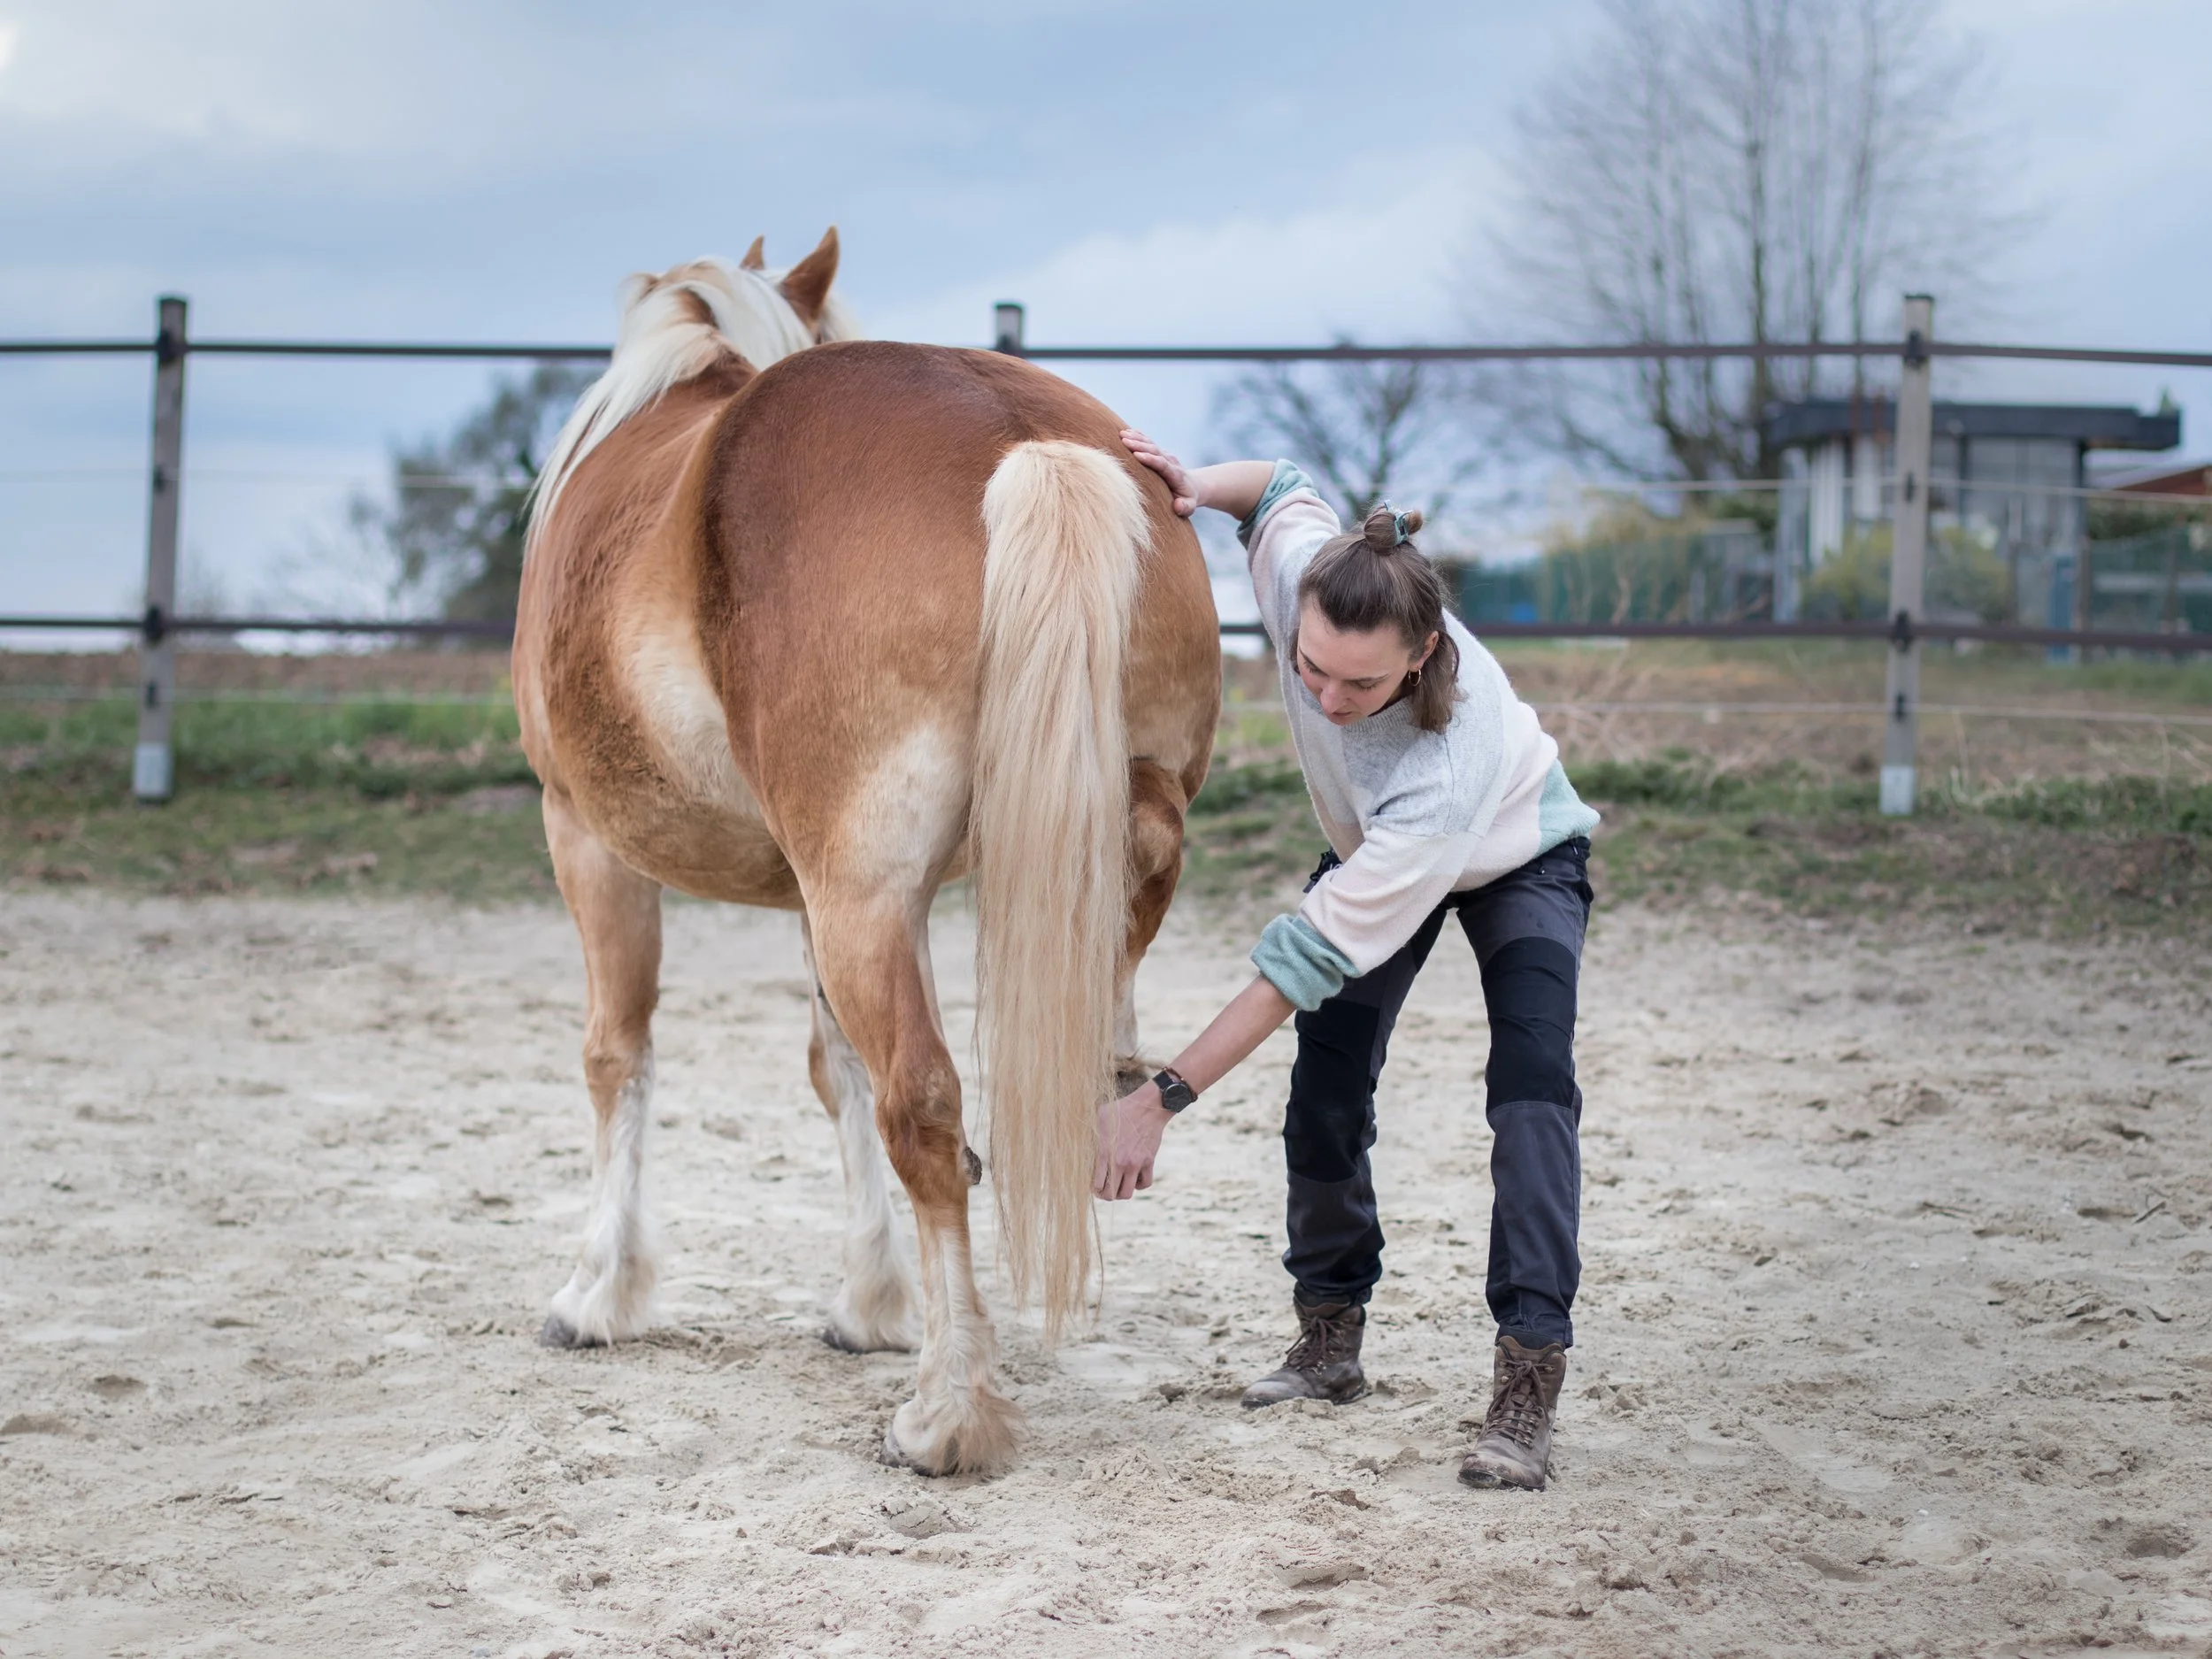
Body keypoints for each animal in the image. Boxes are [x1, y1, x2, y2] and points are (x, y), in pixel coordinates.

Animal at [511, 229, 1220, 1474]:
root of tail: (1021, 440)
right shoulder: (826, 891)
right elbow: (832, 1069)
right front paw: (877, 1304)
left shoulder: (588, 840)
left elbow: (616, 1057)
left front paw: (599, 1294)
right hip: (999, 853)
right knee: (1132, 874)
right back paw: (1114, 1057)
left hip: (853, 898)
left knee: (924, 1108)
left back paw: (948, 1413)